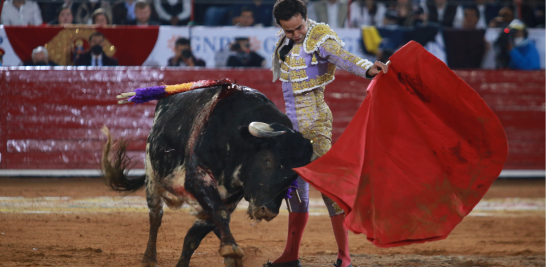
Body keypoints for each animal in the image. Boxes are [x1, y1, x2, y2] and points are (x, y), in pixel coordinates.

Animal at [101, 85, 310, 267]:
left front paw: (228, 252)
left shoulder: (230, 198)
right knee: (155, 217)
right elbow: (218, 214)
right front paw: (231, 248)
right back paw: (149, 259)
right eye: (267, 160)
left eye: (294, 175)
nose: (268, 211)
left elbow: (196, 235)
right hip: (152, 178)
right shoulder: (197, 179)